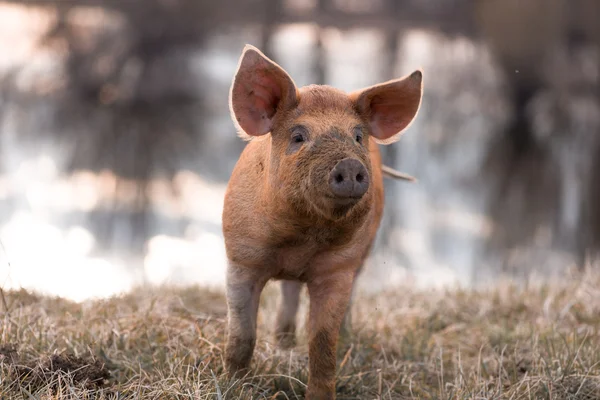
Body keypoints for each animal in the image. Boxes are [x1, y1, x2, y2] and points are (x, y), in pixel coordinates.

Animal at [223, 45, 424, 398]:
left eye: (357, 136)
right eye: (298, 136)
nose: (349, 165)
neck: (301, 240)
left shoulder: (338, 268)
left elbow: (322, 343)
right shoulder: (241, 257)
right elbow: (242, 335)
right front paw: (233, 386)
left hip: (363, 256)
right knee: (289, 292)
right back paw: (283, 342)